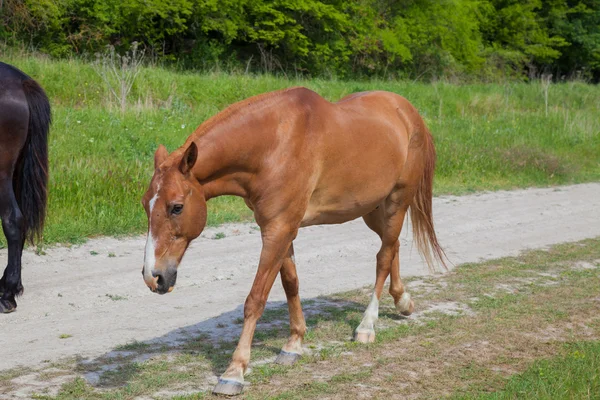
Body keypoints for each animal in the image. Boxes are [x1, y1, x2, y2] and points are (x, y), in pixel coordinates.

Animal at [142, 86, 446, 396]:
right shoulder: (282, 229)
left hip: (397, 201)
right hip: (373, 209)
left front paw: (234, 372)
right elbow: (291, 283)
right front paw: (293, 344)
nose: (154, 277)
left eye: (176, 207)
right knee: (392, 246)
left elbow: (256, 299)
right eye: (145, 204)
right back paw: (403, 301)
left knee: (383, 257)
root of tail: (408, 112)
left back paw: (367, 325)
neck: (273, 146)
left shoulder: (278, 230)